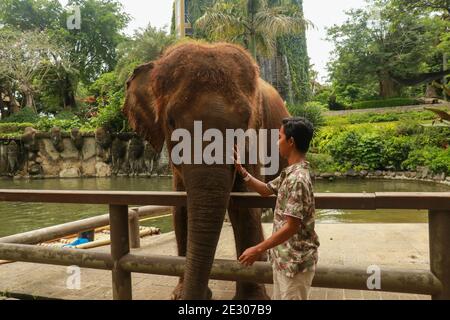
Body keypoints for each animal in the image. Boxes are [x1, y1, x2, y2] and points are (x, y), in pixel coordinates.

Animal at [122, 42, 288, 300]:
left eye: (245, 121)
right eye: (171, 122)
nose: (200, 296)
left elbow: (245, 206)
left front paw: (251, 299)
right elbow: (181, 207)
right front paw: (179, 294)